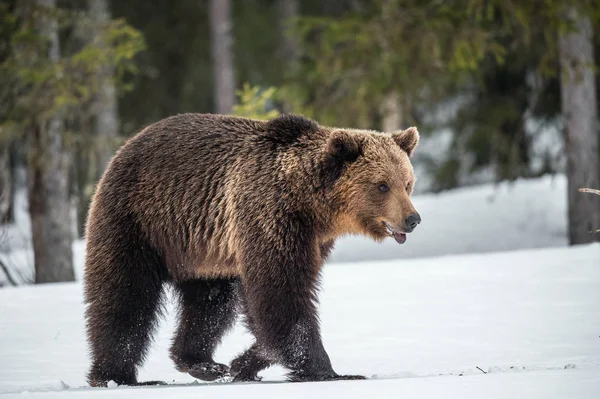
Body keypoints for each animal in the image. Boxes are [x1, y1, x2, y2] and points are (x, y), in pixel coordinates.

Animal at [83, 112, 422, 388]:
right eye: (382, 185)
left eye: (407, 183)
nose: (412, 218)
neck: (310, 205)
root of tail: (125, 146)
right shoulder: (271, 217)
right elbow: (281, 294)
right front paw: (332, 371)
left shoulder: (313, 239)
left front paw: (242, 363)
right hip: (138, 221)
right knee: (126, 296)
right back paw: (118, 376)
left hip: (200, 251)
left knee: (211, 303)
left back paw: (202, 363)